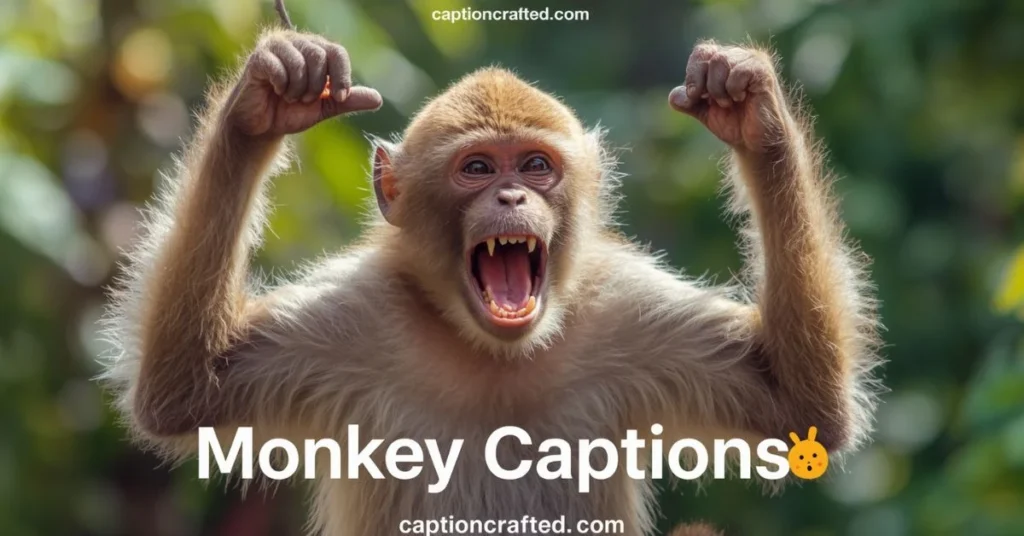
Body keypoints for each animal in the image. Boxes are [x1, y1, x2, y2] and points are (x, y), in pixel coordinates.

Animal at [100, 23, 880, 536]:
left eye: (535, 166)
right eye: (477, 168)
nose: (509, 197)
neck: (492, 353)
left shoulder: (622, 314)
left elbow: (799, 406)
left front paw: (754, 115)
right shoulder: (352, 322)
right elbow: (184, 391)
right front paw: (262, 104)